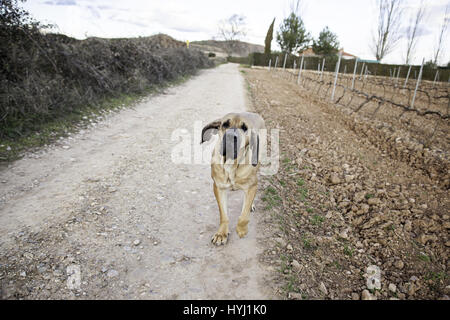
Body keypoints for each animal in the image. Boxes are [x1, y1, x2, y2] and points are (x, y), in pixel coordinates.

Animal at [200, 112, 264, 245]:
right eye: (225, 124)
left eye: (244, 128)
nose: (230, 136)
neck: (231, 164)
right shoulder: (218, 188)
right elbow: (223, 214)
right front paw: (221, 233)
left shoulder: (252, 185)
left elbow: (244, 215)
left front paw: (241, 229)